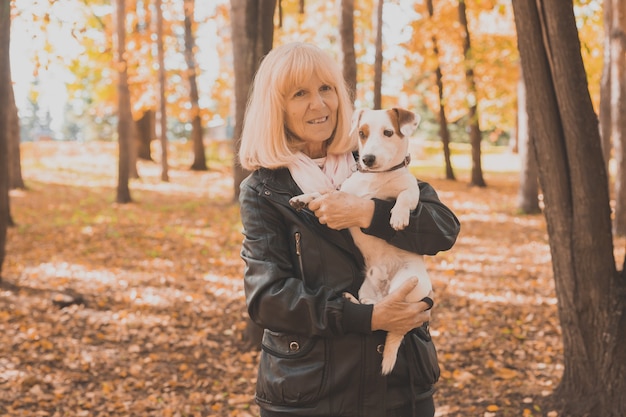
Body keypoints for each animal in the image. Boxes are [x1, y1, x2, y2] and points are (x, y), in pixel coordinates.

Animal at [290, 107, 432, 374]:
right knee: (373, 306)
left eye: (388, 132)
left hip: (406, 281)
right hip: (367, 286)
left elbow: (405, 196)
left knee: (391, 310)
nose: (367, 159)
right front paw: (303, 198)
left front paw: (398, 216)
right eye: (362, 133)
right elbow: (323, 193)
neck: (375, 178)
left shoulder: (412, 191)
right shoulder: (342, 193)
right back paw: (352, 299)